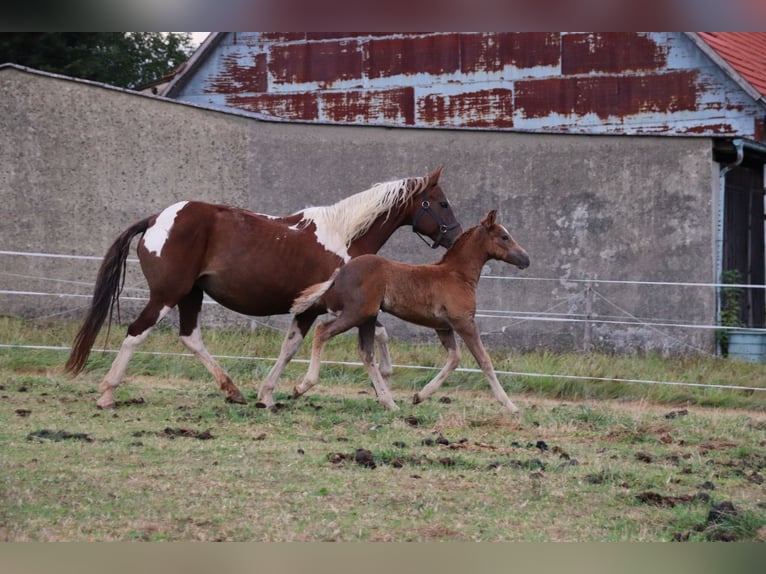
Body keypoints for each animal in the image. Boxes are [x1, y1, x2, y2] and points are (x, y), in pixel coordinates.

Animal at [292, 212, 532, 414]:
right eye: (504, 237)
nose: (526, 259)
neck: (457, 275)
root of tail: (340, 272)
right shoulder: (464, 323)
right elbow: (484, 361)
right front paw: (510, 405)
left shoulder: (443, 327)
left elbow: (455, 358)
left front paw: (419, 396)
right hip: (356, 313)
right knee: (322, 331)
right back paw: (303, 386)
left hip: (367, 317)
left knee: (366, 353)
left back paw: (388, 402)